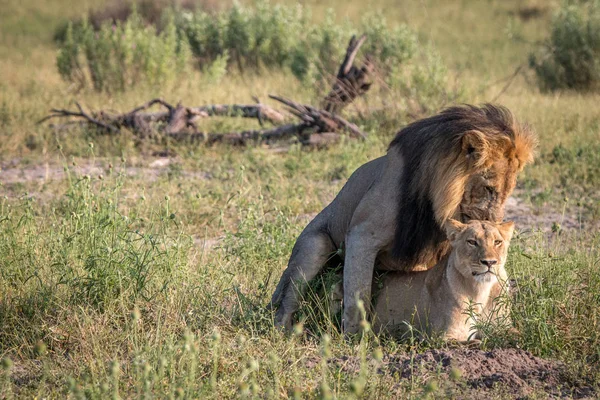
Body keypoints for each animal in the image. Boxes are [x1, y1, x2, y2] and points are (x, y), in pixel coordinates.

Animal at [372, 219, 512, 340]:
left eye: (497, 242)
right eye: (472, 242)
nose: (490, 262)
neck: (481, 289)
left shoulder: (503, 327)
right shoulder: (443, 336)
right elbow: (476, 343)